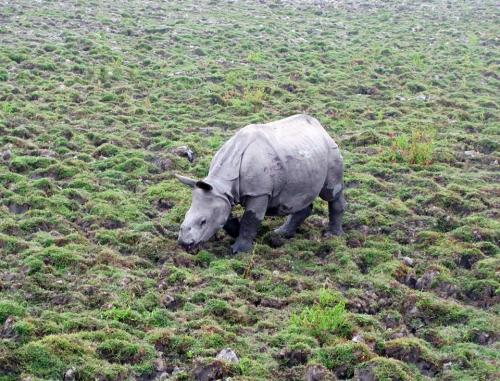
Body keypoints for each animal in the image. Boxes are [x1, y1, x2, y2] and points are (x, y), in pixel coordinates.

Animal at [178, 114, 346, 254]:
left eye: (203, 221)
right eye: (185, 215)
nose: (183, 243)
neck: (221, 183)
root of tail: (321, 128)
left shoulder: (259, 192)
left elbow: (251, 219)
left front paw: (239, 251)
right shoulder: (222, 195)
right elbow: (227, 217)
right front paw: (237, 231)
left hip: (331, 151)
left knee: (330, 193)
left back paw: (332, 235)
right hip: (305, 155)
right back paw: (281, 233)